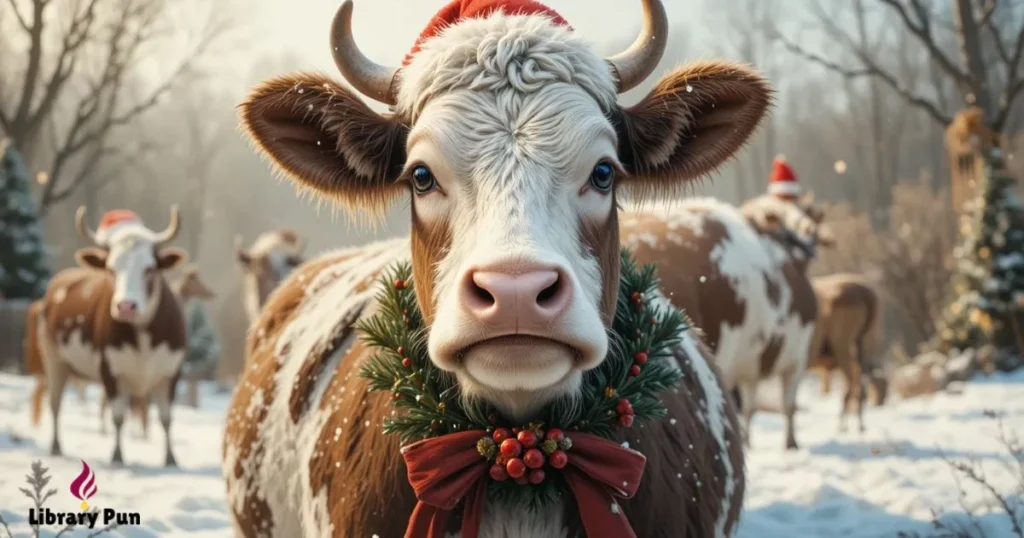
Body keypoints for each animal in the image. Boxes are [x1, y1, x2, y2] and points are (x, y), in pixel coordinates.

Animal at [36, 206, 188, 466]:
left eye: (149, 269)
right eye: (111, 269)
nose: (126, 306)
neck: (142, 333)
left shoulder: (171, 372)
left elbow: (166, 416)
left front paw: (171, 458)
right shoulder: (110, 370)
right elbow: (118, 416)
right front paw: (117, 455)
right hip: (54, 360)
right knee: (55, 403)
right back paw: (56, 447)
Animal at [806, 273, 887, 433]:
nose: (879, 403)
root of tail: (865, 293)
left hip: (843, 346)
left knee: (851, 385)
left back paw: (843, 425)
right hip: (856, 347)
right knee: (858, 386)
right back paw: (859, 424)